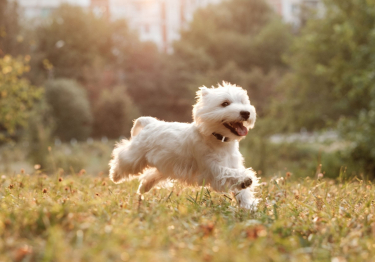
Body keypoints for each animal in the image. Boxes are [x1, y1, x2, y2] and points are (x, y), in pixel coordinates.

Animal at [109, 82, 258, 209]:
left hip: (165, 165)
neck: (219, 140)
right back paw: (114, 176)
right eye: (225, 103)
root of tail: (150, 123)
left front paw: (248, 206)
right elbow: (228, 174)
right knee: (122, 156)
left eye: (243, 102)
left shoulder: (233, 164)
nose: (246, 113)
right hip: (136, 155)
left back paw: (143, 187)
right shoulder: (211, 167)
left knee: (152, 174)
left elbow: (241, 189)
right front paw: (246, 179)